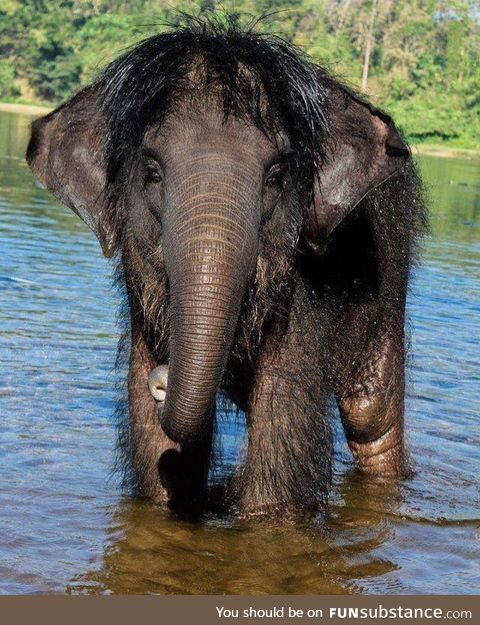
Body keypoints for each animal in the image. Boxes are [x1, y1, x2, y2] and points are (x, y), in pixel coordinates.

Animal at [26, 19, 426, 516]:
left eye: (275, 177)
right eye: (152, 173)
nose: (163, 379)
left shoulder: (307, 295)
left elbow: (278, 461)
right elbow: (159, 457)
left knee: (370, 416)